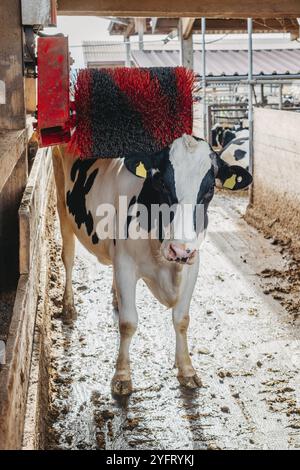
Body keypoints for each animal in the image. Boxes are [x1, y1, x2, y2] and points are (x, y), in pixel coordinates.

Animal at [52, 134, 252, 394]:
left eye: (209, 190)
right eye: (162, 183)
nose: (180, 249)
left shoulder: (192, 264)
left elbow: (182, 319)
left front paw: (187, 370)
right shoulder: (126, 265)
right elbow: (128, 323)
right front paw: (122, 376)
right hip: (61, 201)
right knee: (68, 257)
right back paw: (68, 307)